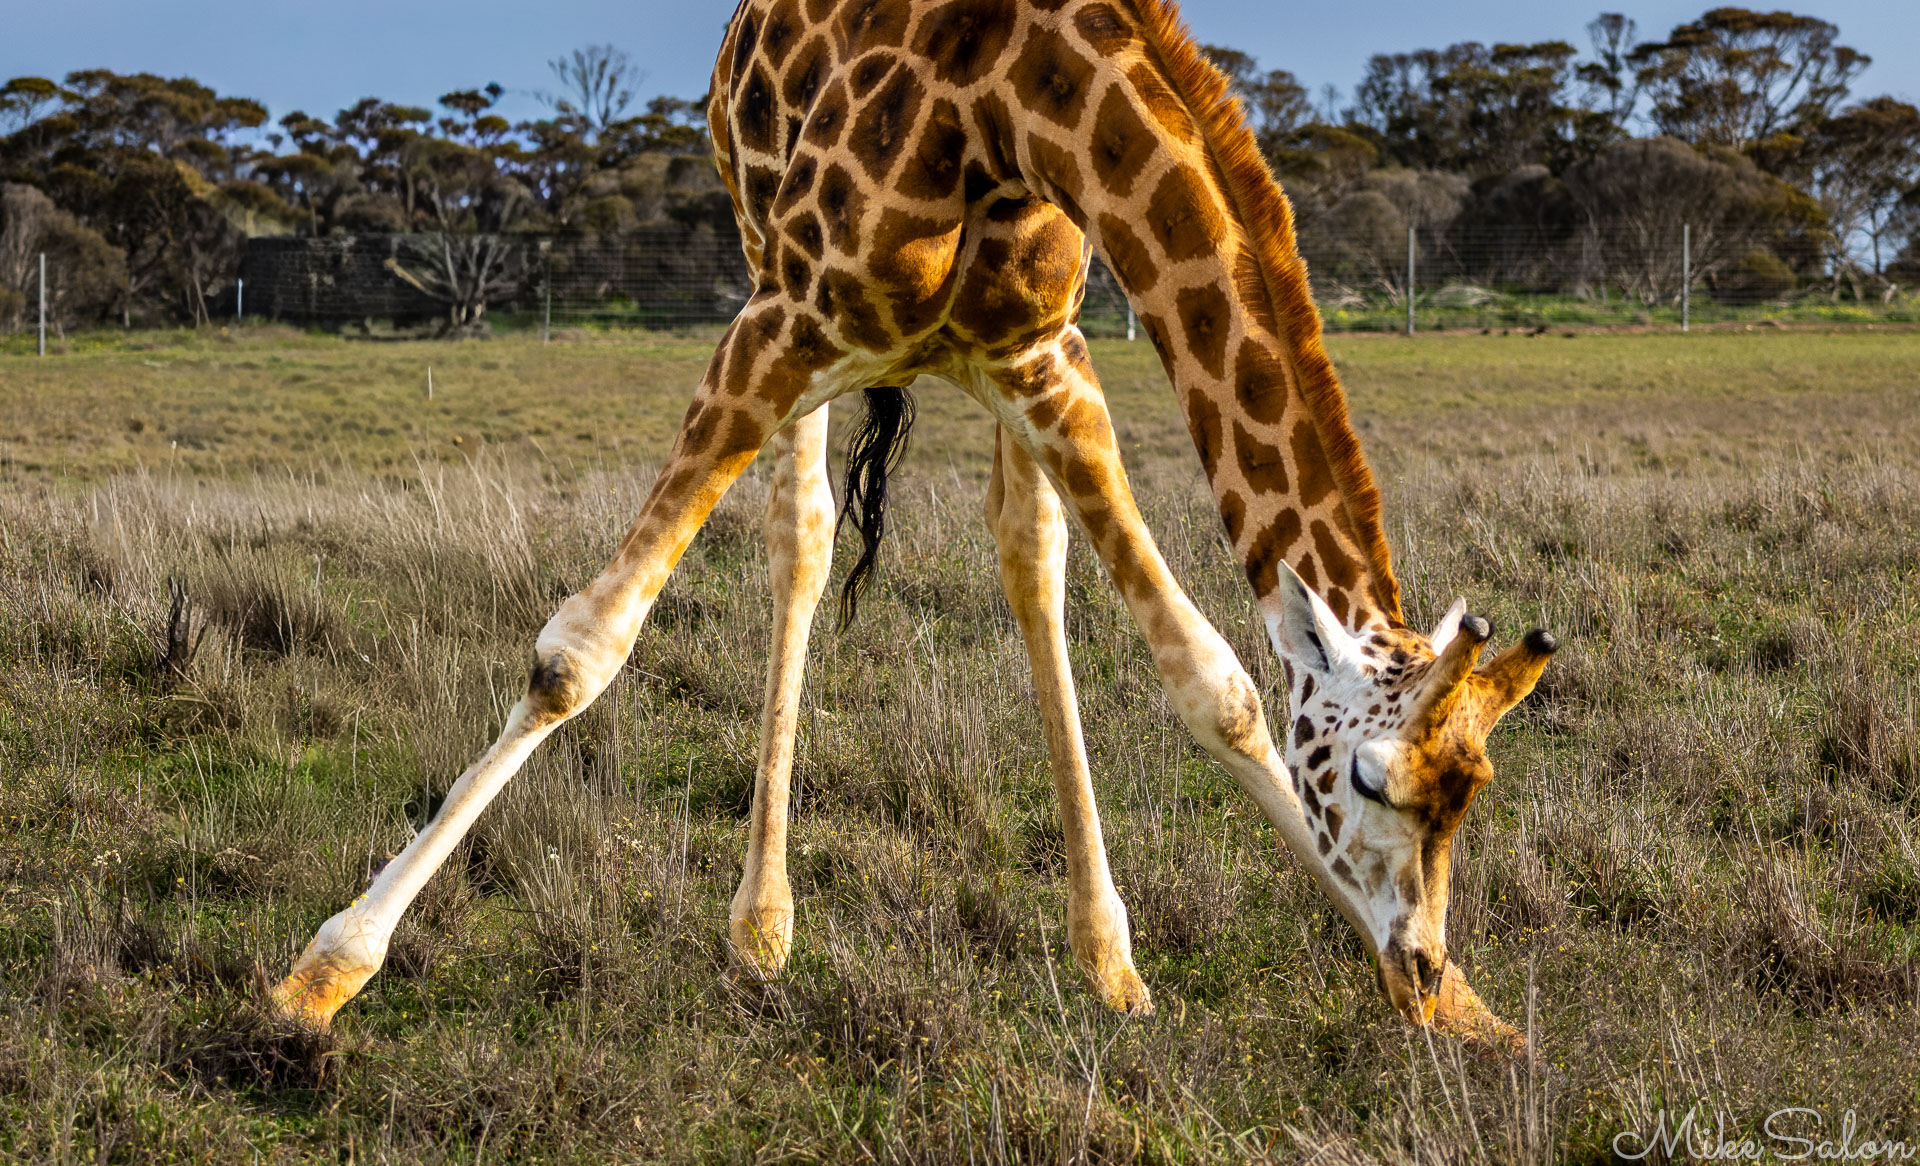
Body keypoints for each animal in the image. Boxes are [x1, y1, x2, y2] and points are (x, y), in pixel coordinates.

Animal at [272, 0, 1557, 1054]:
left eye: (1471, 793)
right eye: (1370, 779)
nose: (1419, 963)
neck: (1013, 101)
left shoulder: (1046, 360)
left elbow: (1214, 681)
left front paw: (1476, 1013)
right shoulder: (785, 321)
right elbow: (577, 653)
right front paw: (323, 971)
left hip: (989, 373)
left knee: (1026, 556)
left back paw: (1105, 955)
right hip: (769, 268)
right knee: (800, 537)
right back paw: (762, 926)